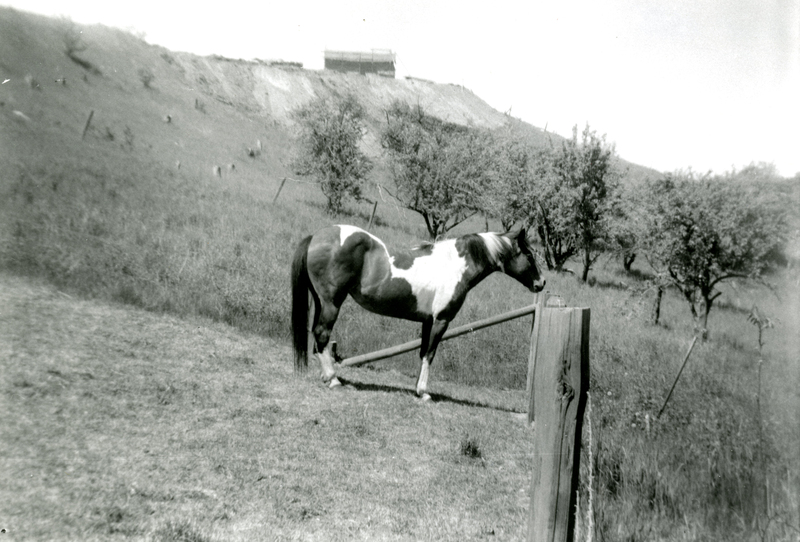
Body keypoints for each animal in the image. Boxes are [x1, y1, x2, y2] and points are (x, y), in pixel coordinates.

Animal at [290, 223, 548, 402]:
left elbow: (422, 352)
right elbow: (430, 354)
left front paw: (417, 389)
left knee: (318, 336)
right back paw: (333, 379)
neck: (454, 265)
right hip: (332, 303)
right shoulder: (441, 321)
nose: (542, 283)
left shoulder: (427, 321)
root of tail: (316, 237)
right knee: (322, 334)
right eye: (529, 254)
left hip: (321, 302)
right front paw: (423, 393)